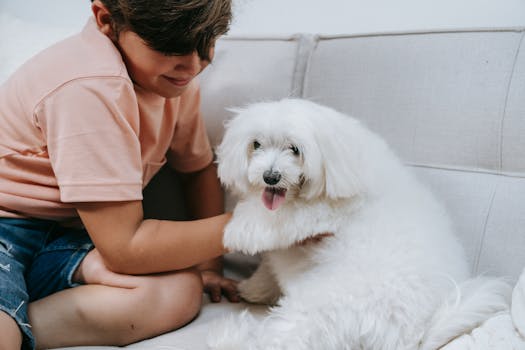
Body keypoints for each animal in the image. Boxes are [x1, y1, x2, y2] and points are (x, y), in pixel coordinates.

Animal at [208, 99, 508, 350]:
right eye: (256, 144)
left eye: (295, 150)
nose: (270, 177)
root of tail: (415, 335)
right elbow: (271, 266)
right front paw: (255, 287)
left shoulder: (322, 212)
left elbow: (278, 217)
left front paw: (239, 228)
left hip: (318, 309)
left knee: (277, 341)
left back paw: (227, 338)